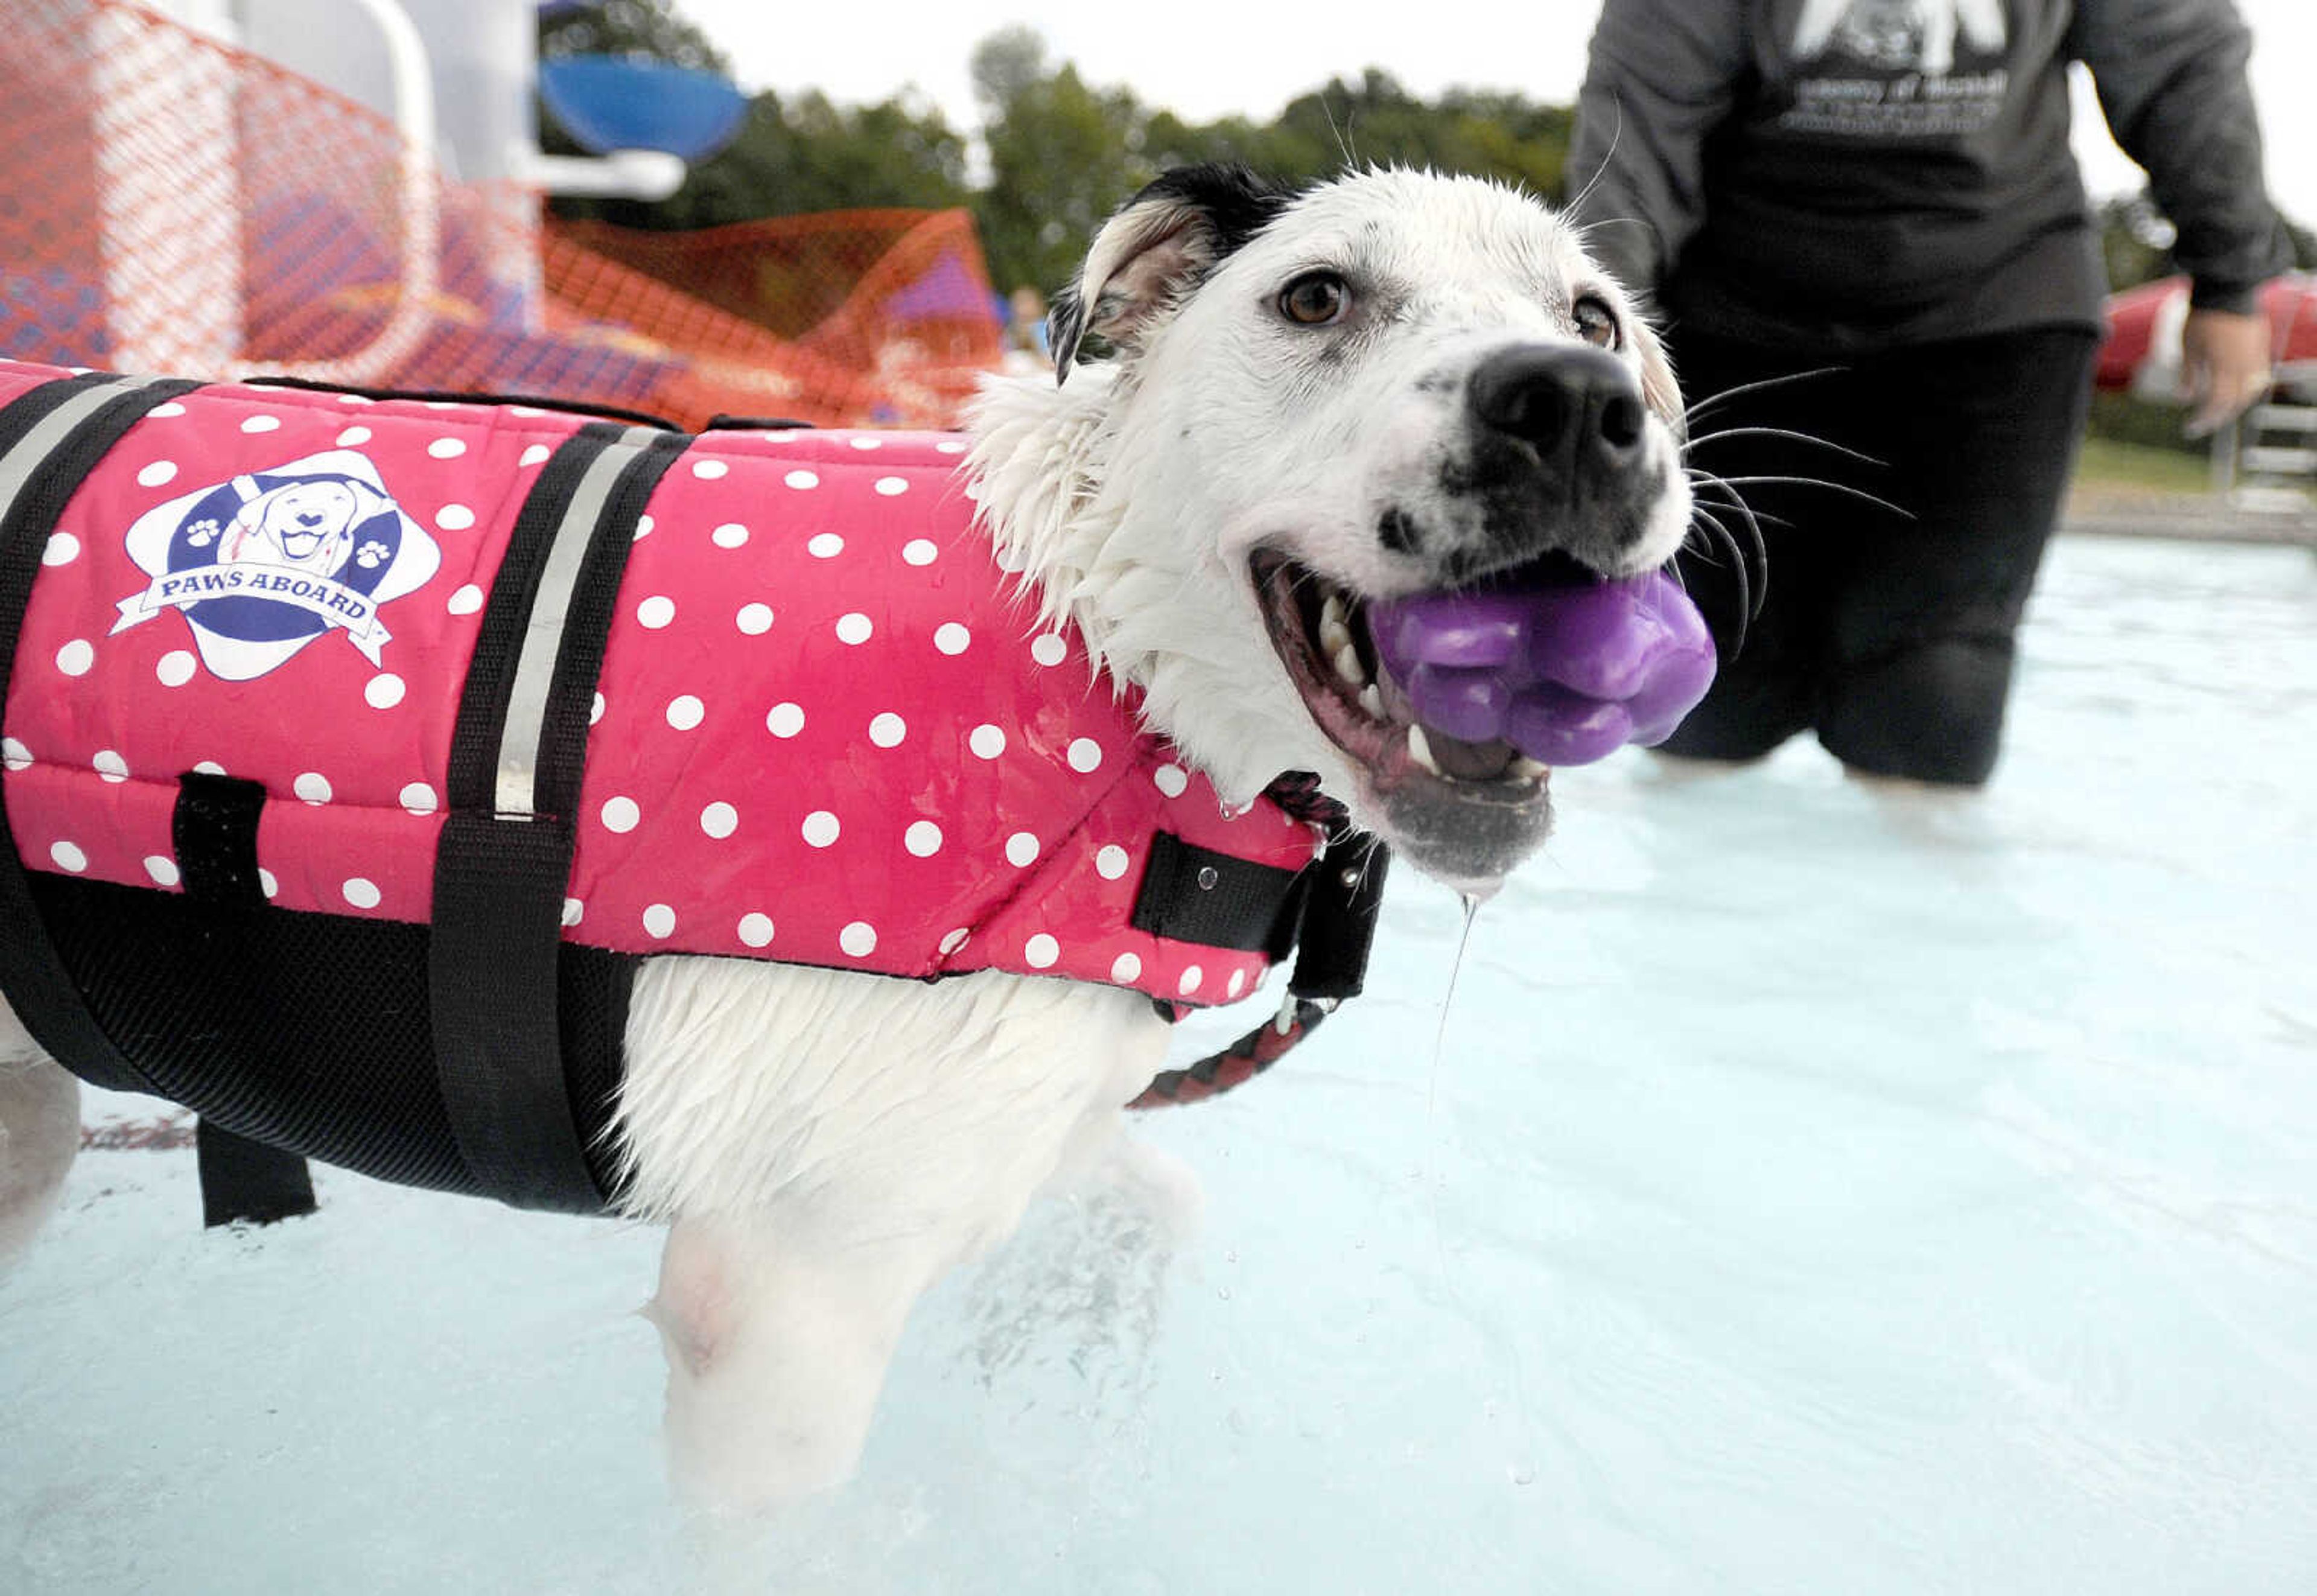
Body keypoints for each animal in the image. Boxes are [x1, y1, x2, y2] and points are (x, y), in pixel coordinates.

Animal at [0, 168, 1686, 1510]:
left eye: (1595, 319)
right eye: (1318, 292)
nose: (1572, 405)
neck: (1097, 654)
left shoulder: (1005, 1118)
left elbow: (1144, 1213)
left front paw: (1058, 1392)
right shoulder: (781, 1312)